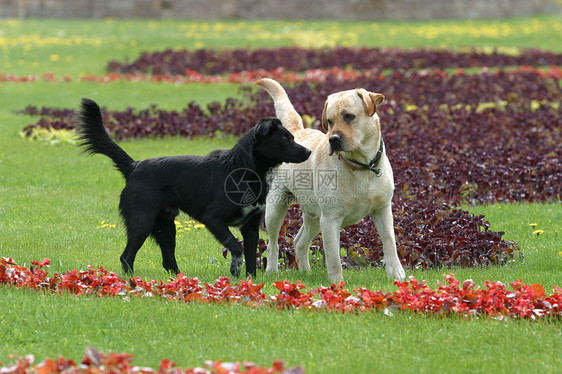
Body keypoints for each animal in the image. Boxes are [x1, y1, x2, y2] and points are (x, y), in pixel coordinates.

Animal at [75, 99, 310, 278]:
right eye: (285, 138)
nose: (308, 152)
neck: (242, 168)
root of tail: (134, 166)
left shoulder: (251, 227)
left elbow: (251, 258)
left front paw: (249, 282)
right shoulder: (213, 219)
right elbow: (236, 247)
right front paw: (235, 269)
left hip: (166, 227)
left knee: (168, 260)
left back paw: (181, 280)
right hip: (143, 221)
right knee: (127, 256)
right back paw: (131, 281)